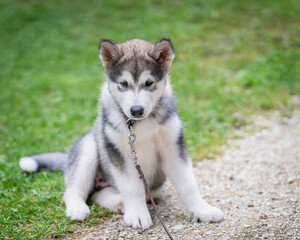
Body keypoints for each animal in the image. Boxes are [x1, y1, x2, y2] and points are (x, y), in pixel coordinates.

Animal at [19, 38, 224, 230]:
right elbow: (132, 187)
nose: (136, 110)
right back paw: (78, 208)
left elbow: (188, 185)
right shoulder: (119, 152)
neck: (140, 124)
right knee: (74, 191)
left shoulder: (173, 147)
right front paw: (138, 215)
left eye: (149, 83)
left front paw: (203, 210)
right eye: (123, 84)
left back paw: (118, 202)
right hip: (88, 149)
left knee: (97, 194)